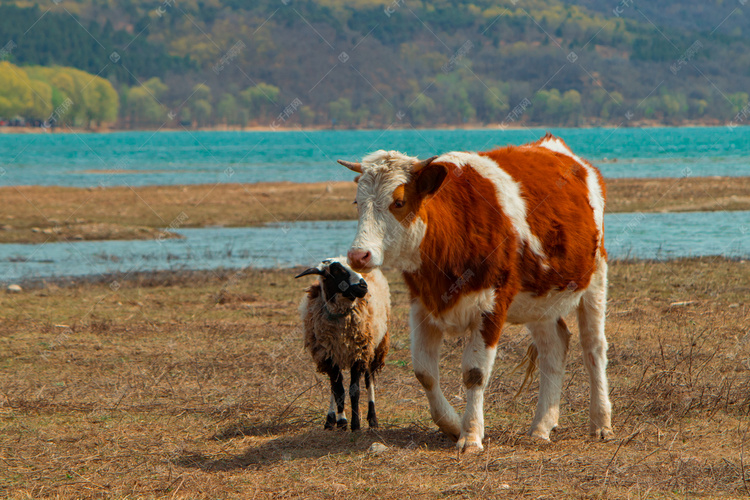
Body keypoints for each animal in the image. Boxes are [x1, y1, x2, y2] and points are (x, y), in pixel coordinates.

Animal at [296, 258, 390, 430]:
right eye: (337, 271)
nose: (363, 286)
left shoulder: (358, 353)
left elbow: (354, 390)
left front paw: (355, 425)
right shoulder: (328, 356)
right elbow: (338, 390)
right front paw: (341, 422)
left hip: (375, 347)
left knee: (369, 381)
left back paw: (373, 420)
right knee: (334, 387)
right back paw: (330, 420)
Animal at [340, 134, 616, 454]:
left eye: (398, 202)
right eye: (357, 202)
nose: (358, 255)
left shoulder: (492, 305)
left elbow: (475, 373)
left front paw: (470, 435)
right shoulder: (422, 305)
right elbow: (424, 372)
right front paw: (452, 425)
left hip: (595, 277)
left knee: (594, 348)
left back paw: (601, 423)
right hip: (540, 298)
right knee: (554, 347)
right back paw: (542, 426)